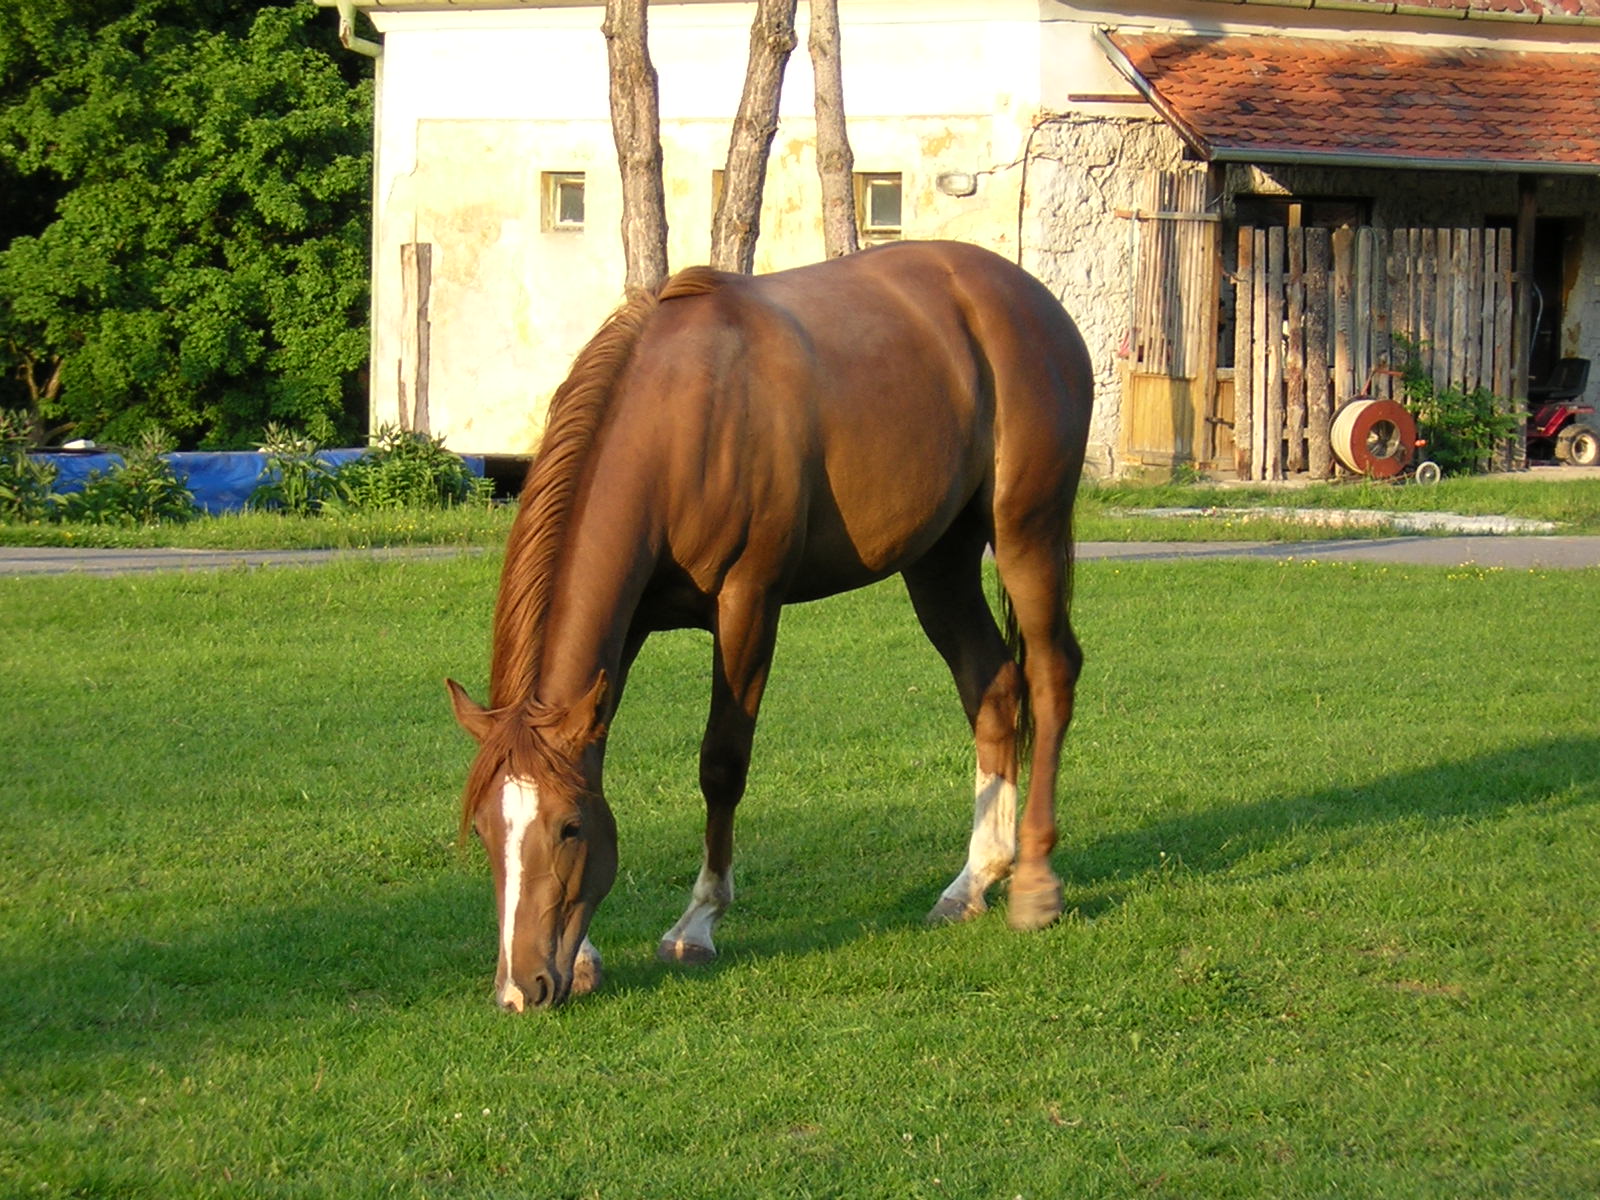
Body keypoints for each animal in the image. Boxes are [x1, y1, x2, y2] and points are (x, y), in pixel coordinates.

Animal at [447, 239, 1093, 1011]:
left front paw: (697, 925)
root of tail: (1030, 299)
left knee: (1051, 675)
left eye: (569, 829)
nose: (523, 988)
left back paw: (1035, 885)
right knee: (991, 687)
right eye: (487, 831)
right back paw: (972, 882)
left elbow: (722, 765)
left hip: (1027, 529)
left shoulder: (748, 603)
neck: (677, 421)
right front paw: (588, 958)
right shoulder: (628, 628)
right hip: (940, 559)